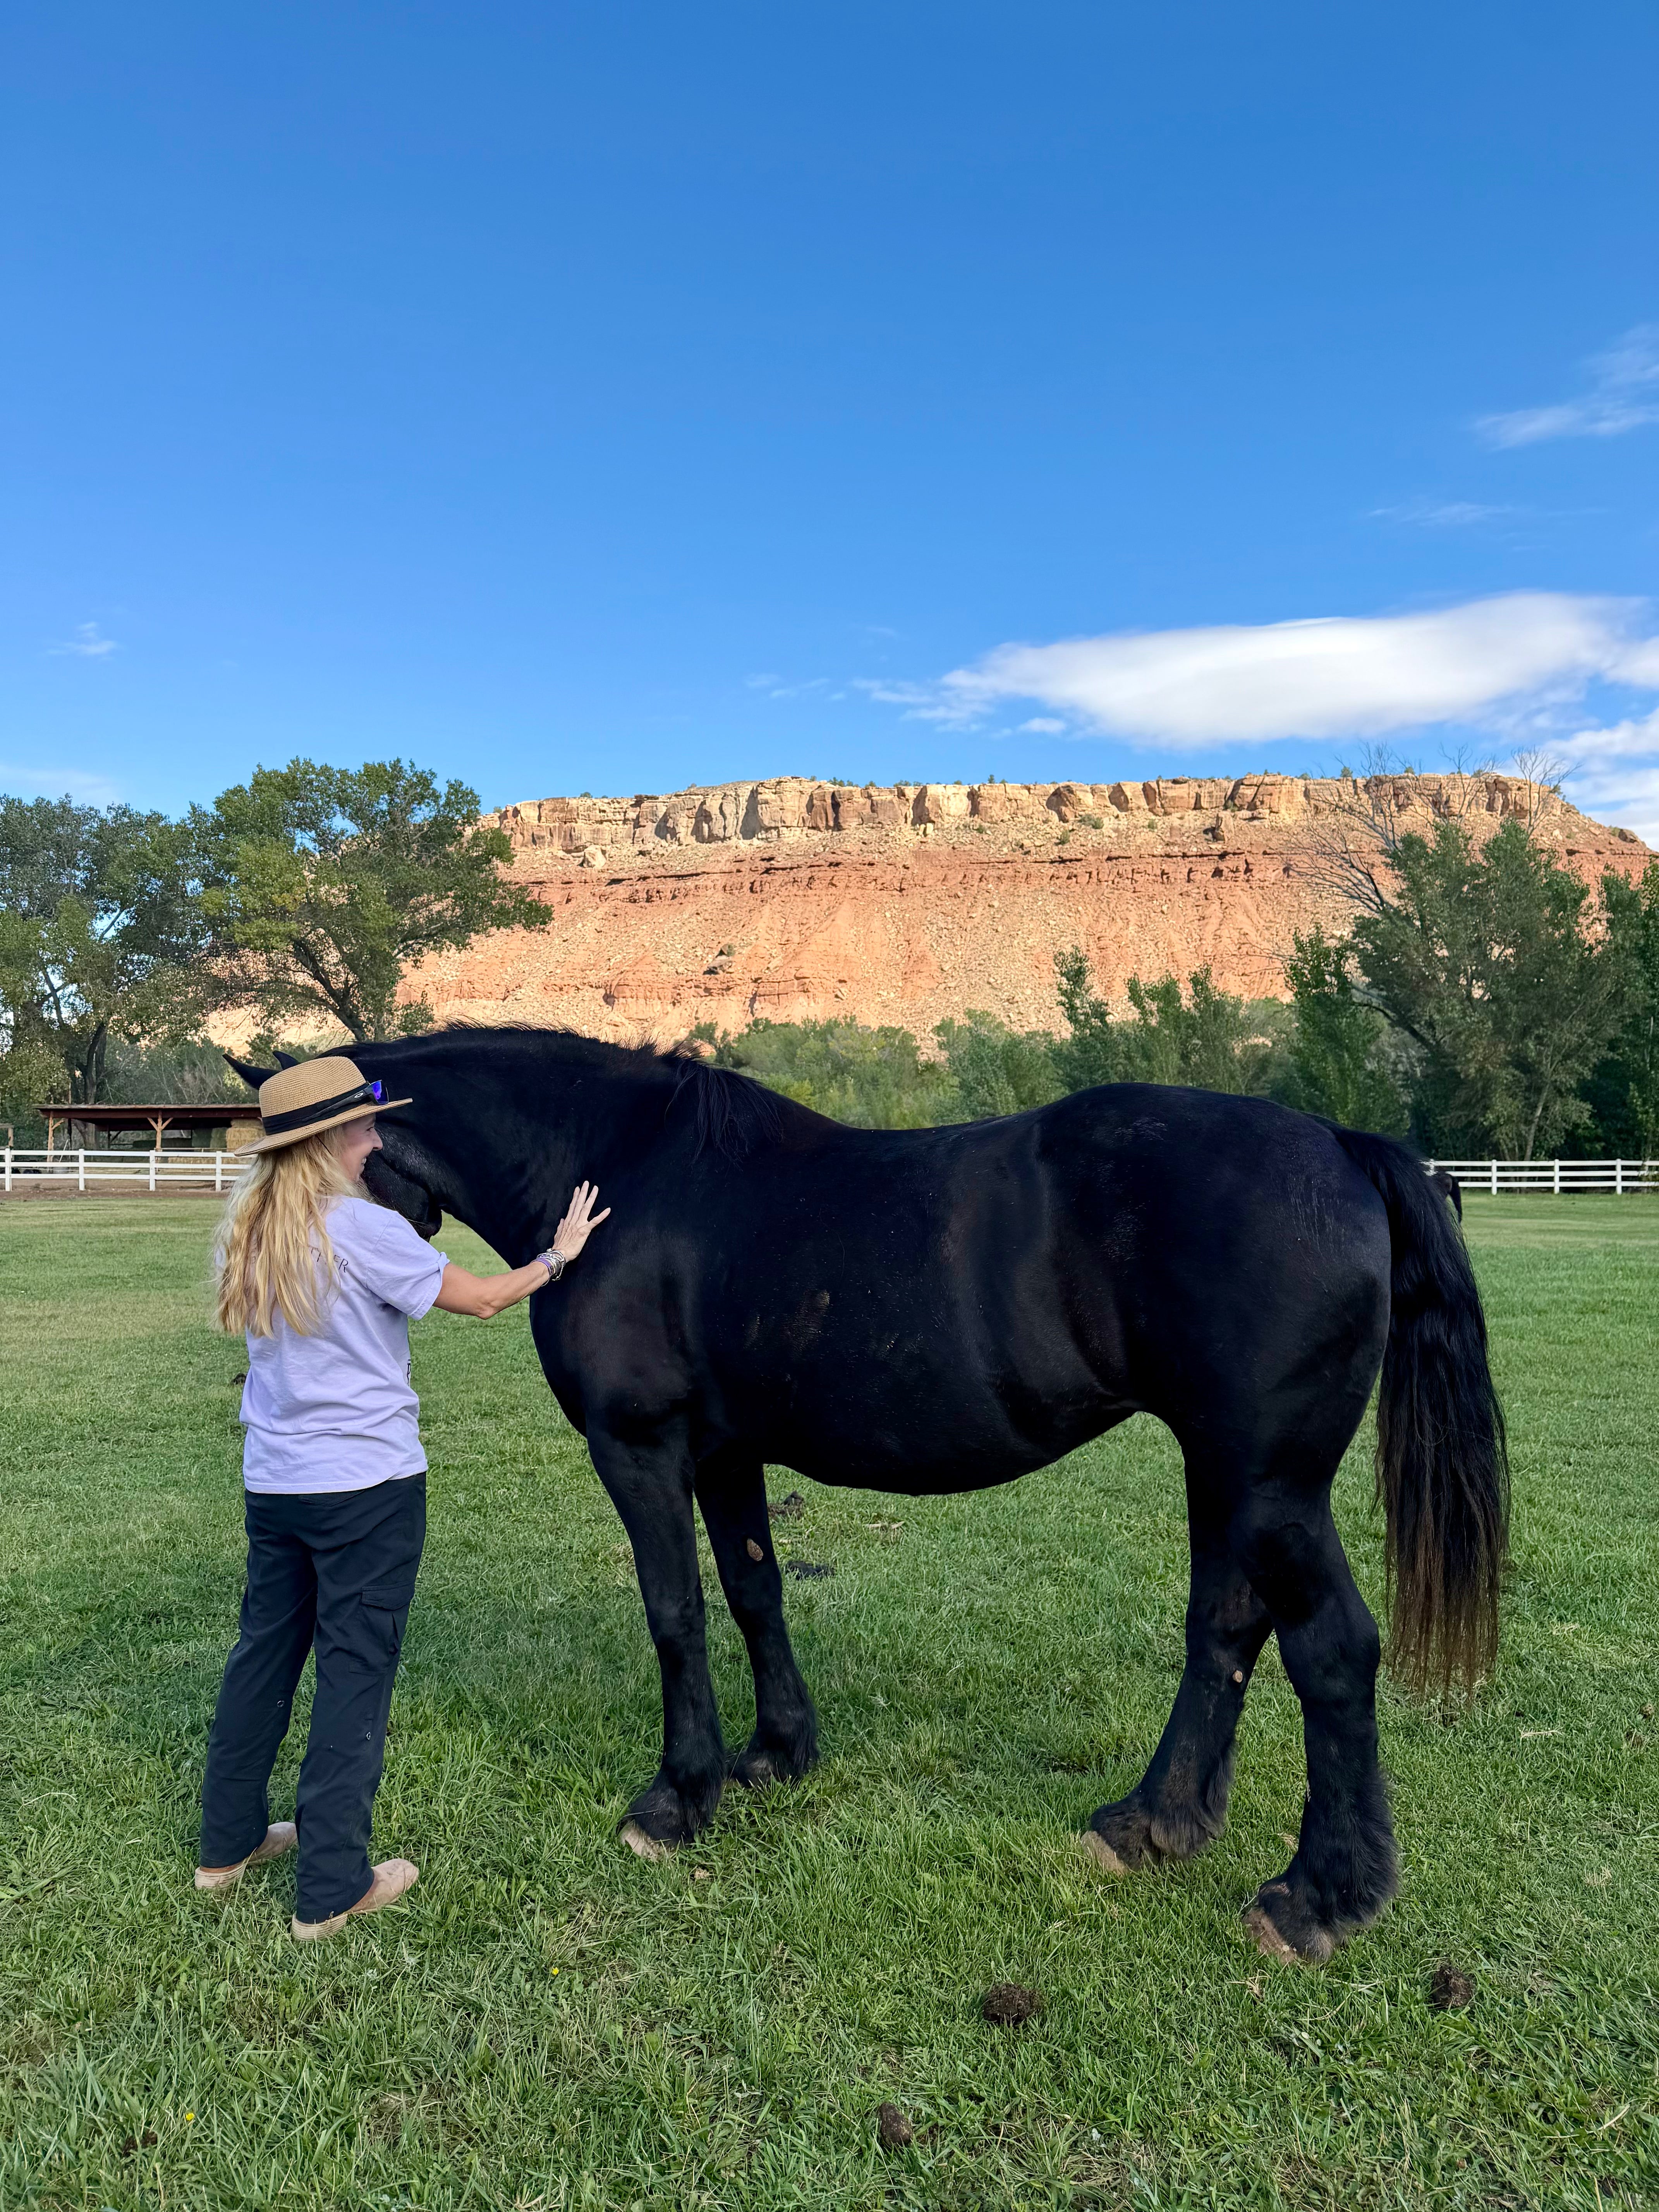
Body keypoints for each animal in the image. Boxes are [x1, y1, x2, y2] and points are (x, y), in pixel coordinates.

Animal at [228, 1029, 1507, 1964]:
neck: (623, 1172)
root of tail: (1340, 1145)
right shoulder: (724, 1454)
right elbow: (753, 1593)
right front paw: (775, 1753)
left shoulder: (639, 1448)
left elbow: (674, 1614)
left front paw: (675, 1799)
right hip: (1227, 1474)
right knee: (1226, 1631)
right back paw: (1150, 1824)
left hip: (1266, 1480)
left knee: (1331, 1650)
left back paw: (1316, 1897)